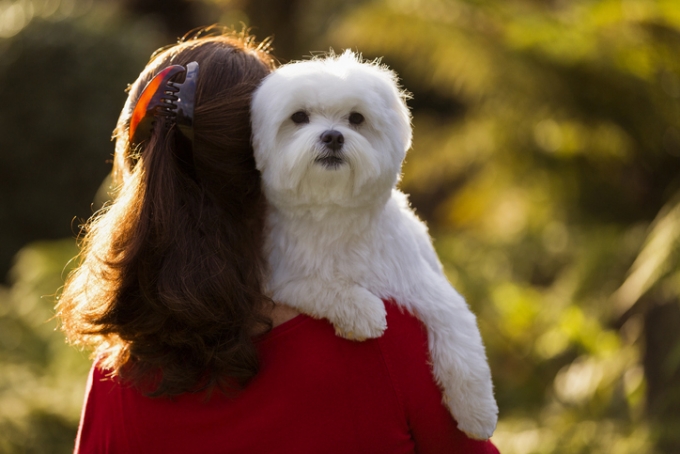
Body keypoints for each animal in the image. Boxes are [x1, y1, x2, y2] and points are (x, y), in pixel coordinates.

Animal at [252, 50, 496, 440]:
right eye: (299, 117)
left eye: (356, 118)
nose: (333, 136)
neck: (334, 214)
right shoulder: (283, 276)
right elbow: (324, 286)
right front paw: (364, 313)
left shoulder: (423, 286)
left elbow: (460, 341)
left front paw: (477, 413)